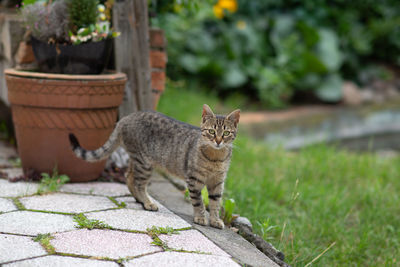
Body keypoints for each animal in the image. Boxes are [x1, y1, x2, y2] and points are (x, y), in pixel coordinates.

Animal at [69, 104, 239, 230]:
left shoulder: (217, 182)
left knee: (129, 177)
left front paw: (215, 220)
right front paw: (200, 217)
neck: (216, 158)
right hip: (144, 163)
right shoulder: (194, 180)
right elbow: (198, 201)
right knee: (138, 182)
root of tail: (126, 117)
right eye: (211, 131)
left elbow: (216, 203)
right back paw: (148, 202)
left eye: (226, 133)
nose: (218, 141)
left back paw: (140, 200)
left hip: (138, 161)